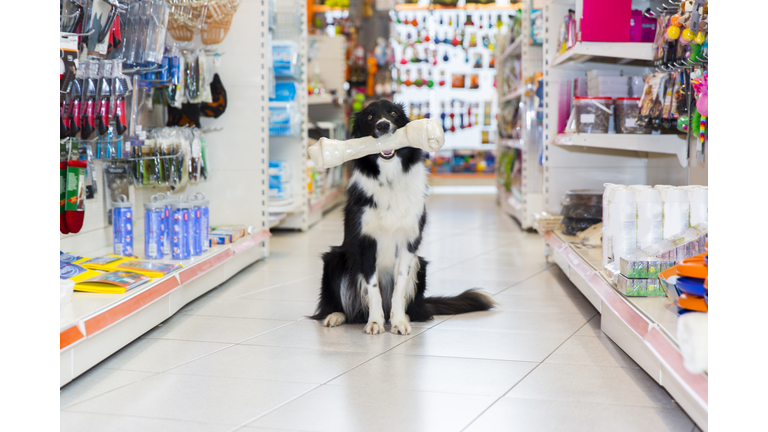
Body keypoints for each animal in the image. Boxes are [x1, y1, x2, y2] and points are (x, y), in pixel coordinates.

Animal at [308, 99, 496, 336]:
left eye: (393, 113)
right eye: (369, 117)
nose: (383, 125)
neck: (389, 178)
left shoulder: (408, 243)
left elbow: (399, 286)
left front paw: (398, 321)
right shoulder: (365, 244)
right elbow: (373, 288)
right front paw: (375, 322)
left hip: (420, 265)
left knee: (415, 309)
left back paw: (405, 315)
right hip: (335, 258)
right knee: (344, 306)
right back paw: (336, 315)